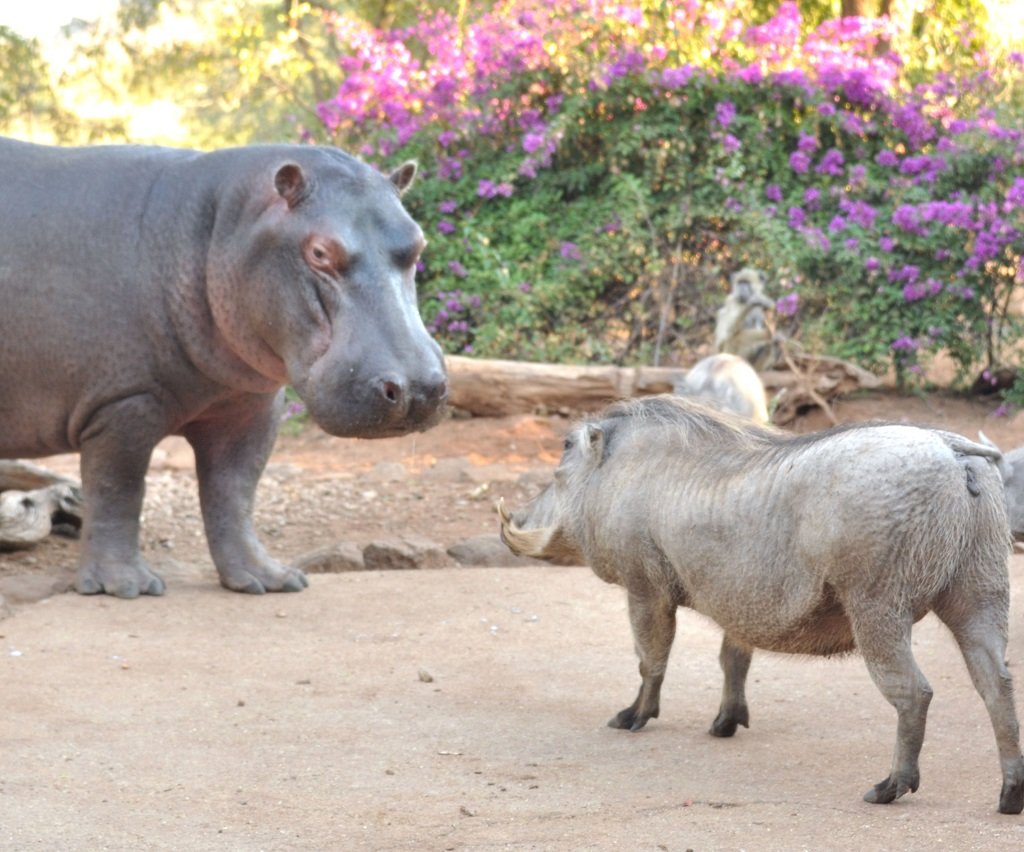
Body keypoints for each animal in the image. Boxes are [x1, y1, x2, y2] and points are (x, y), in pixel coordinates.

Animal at [0, 137, 448, 598]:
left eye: (418, 244)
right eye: (320, 252)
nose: (418, 389)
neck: (216, 227)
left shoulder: (251, 405)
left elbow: (235, 493)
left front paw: (270, 579)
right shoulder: (124, 403)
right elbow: (117, 489)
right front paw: (127, 586)